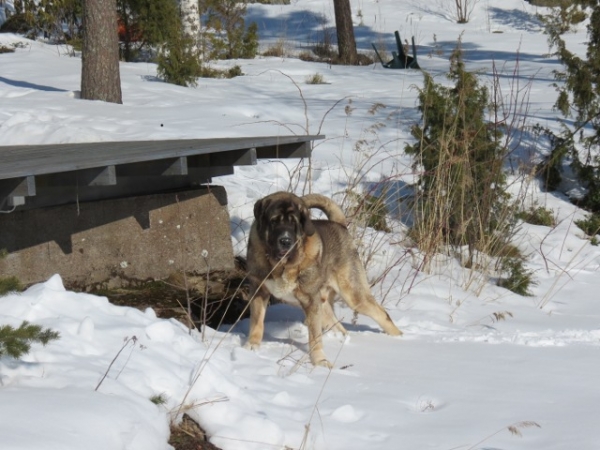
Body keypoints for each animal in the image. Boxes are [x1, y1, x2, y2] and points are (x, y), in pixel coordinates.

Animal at [244, 192, 404, 368]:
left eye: (294, 224)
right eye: (273, 221)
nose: (285, 241)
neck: (282, 265)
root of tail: (339, 225)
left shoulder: (310, 302)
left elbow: (315, 337)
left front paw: (320, 361)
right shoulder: (259, 291)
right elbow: (257, 322)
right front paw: (251, 347)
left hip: (354, 296)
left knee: (382, 314)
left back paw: (400, 338)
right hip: (323, 305)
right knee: (340, 327)